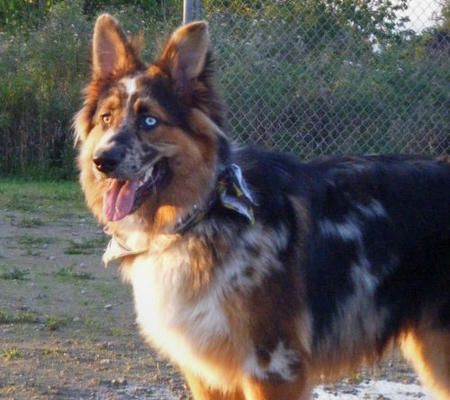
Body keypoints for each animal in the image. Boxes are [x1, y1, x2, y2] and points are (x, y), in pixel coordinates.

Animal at [74, 14, 450, 400]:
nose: (102, 161)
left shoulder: (273, 367)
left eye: (149, 120)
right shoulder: (207, 374)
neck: (205, 213)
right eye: (106, 119)